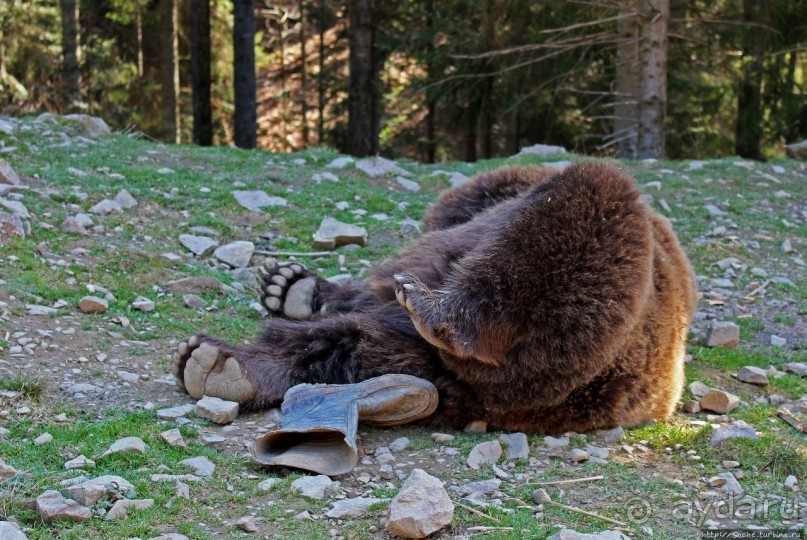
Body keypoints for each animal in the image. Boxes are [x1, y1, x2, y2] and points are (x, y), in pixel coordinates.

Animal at [174, 161, 696, 434]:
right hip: (473, 384)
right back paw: (230, 356)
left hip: (607, 312)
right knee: (352, 347)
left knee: (591, 194)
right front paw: (293, 285)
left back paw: (437, 311)